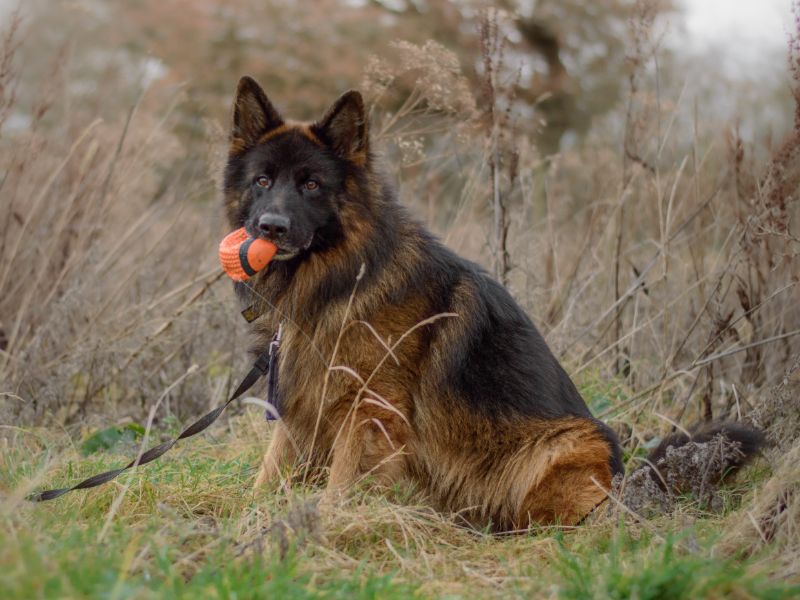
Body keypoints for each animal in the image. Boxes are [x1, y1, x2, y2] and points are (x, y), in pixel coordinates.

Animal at [222, 75, 760, 528]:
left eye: (311, 184)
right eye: (262, 180)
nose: (271, 227)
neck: (342, 274)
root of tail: (629, 479)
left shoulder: (371, 413)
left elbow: (340, 485)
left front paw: (325, 527)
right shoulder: (301, 396)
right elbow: (273, 466)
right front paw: (245, 519)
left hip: (562, 446)